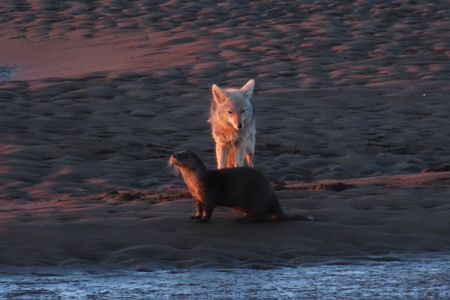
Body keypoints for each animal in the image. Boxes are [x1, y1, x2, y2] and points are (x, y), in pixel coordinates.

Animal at [168, 150, 312, 223]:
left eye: (182, 155)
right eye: (177, 150)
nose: (173, 155)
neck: (196, 182)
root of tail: (273, 197)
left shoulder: (208, 195)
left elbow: (208, 209)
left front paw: (203, 219)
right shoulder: (196, 197)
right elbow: (198, 208)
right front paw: (196, 216)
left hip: (257, 198)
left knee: (262, 216)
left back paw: (243, 219)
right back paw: (246, 216)